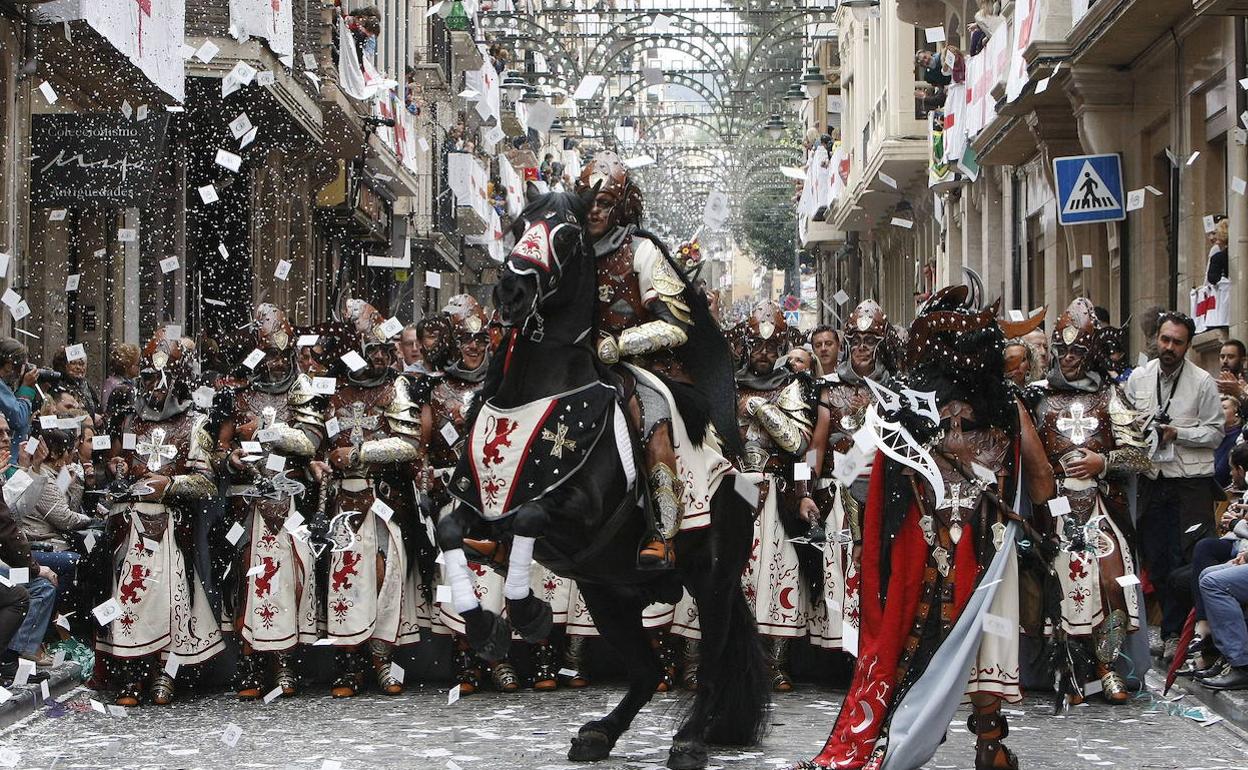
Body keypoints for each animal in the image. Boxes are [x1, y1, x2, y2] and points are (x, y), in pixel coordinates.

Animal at [439, 192, 768, 768]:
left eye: (567, 236)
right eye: (521, 224)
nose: (512, 290)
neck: (540, 391)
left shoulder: (582, 513)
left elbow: (529, 515)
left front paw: (527, 612)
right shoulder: (480, 504)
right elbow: (449, 528)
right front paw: (483, 624)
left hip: (713, 581)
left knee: (709, 668)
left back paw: (690, 740)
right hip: (606, 592)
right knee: (645, 673)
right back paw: (600, 733)